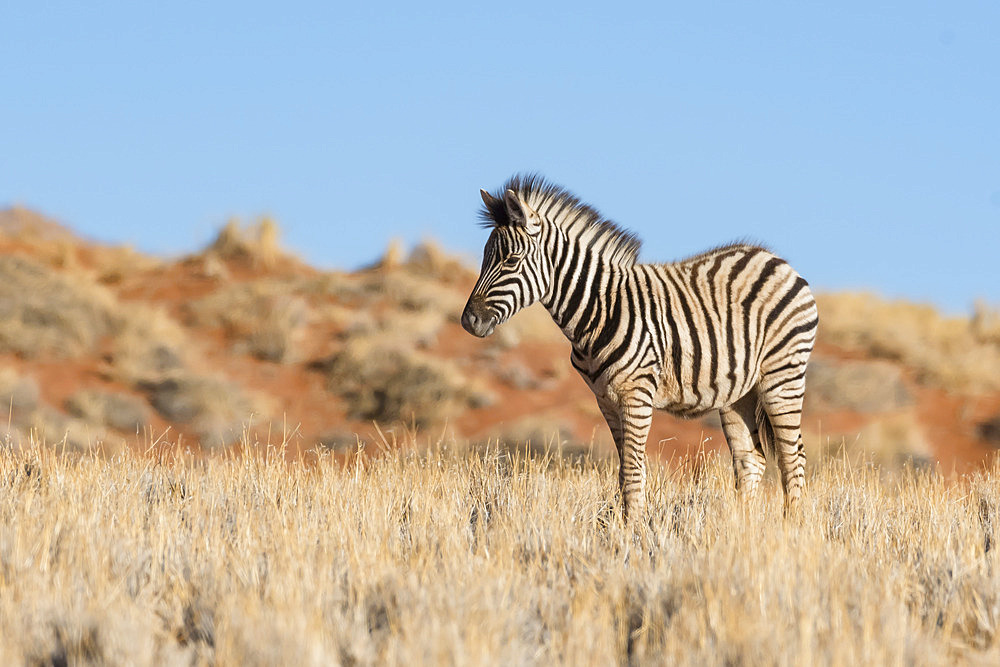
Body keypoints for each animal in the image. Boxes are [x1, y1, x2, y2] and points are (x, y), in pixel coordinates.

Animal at [462, 175, 820, 520]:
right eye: (484, 258)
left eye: (511, 260)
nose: (468, 321)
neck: (598, 309)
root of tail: (778, 261)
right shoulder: (605, 399)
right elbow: (624, 470)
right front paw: (625, 526)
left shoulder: (636, 394)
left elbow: (633, 472)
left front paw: (633, 530)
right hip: (739, 391)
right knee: (750, 460)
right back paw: (741, 530)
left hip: (782, 375)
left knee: (793, 458)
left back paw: (792, 526)